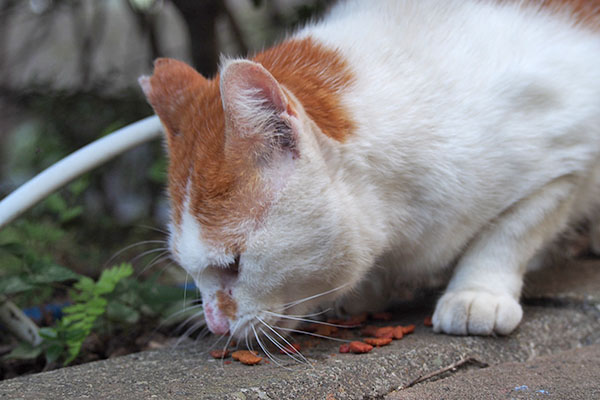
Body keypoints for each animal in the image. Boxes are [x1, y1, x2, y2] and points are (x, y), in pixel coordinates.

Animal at [138, 0, 600, 340]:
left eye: (233, 264)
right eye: (187, 268)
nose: (216, 325)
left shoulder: (568, 160)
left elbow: (509, 232)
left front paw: (476, 294)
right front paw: (367, 293)